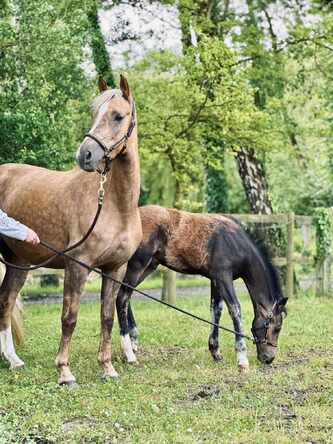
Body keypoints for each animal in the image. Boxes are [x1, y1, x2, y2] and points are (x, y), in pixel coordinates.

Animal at [0, 76, 141, 386]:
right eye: (94, 113)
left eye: (118, 116)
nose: (85, 155)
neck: (114, 205)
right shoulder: (77, 266)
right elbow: (69, 318)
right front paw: (65, 372)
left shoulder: (115, 268)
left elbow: (107, 317)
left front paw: (107, 368)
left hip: (19, 262)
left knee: (6, 300)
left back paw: (13, 360)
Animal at [116, 205, 286, 372]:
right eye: (277, 327)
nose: (268, 358)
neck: (235, 243)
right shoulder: (223, 277)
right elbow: (235, 309)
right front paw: (242, 359)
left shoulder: (215, 279)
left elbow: (216, 309)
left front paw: (215, 351)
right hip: (138, 264)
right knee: (122, 298)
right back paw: (129, 354)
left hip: (149, 266)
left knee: (127, 297)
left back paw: (133, 341)